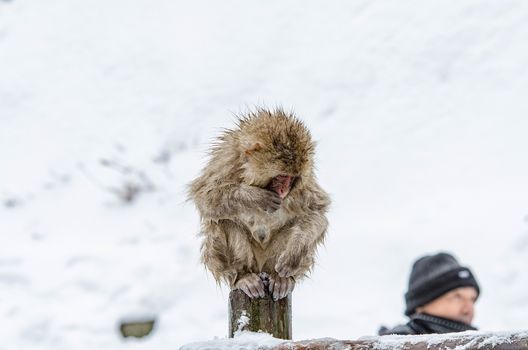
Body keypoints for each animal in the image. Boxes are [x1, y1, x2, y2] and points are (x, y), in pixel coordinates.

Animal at [189, 108, 330, 300]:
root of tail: (262, 268)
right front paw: (256, 197)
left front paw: (293, 255)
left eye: (291, 178)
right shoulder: (227, 161)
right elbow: (204, 196)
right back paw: (242, 276)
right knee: (222, 220)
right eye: (281, 177)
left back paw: (280, 279)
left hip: (270, 260)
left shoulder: (304, 185)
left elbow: (316, 212)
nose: (283, 191)